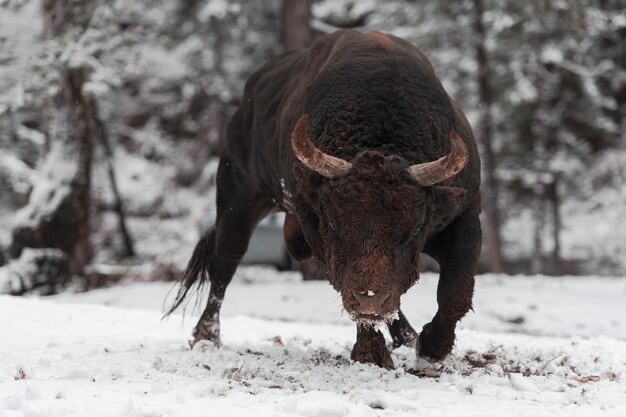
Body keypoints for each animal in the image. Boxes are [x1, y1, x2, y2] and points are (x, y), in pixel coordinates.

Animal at [165, 30, 478, 368]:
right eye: (334, 224)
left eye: (416, 228)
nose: (371, 299)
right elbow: (346, 281)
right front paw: (373, 354)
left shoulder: (465, 218)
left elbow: (456, 292)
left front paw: (431, 347)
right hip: (239, 199)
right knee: (224, 263)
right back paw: (205, 336)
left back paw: (406, 335)